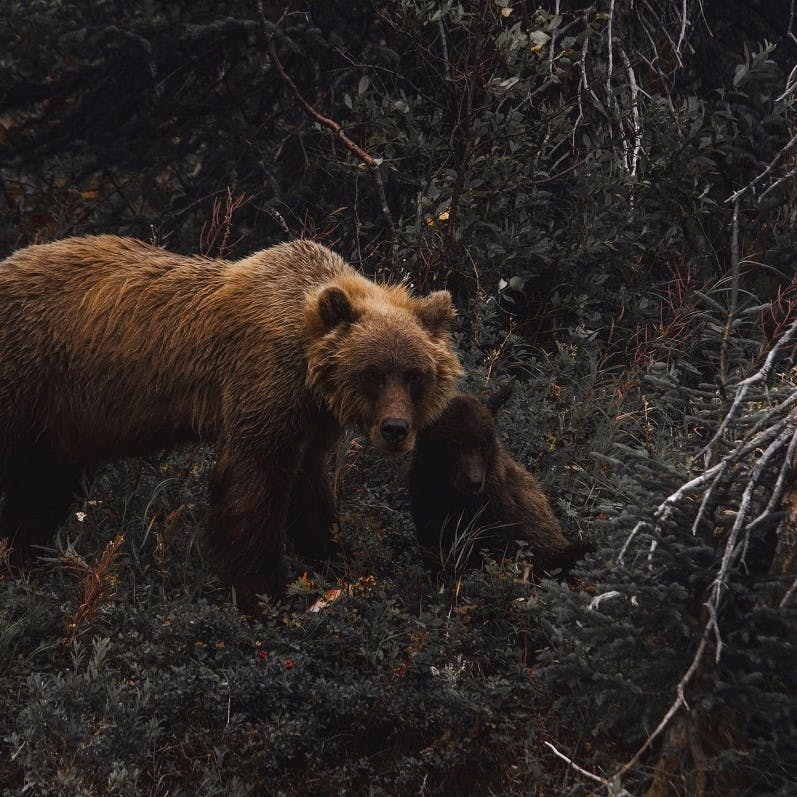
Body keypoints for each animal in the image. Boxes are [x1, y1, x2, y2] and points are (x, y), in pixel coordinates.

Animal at [0, 236, 464, 608]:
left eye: (415, 374)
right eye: (372, 372)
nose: (395, 429)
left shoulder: (311, 419)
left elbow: (308, 489)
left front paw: (341, 564)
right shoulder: (262, 379)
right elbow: (251, 484)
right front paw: (264, 596)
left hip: (58, 421)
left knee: (41, 488)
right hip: (26, 378)